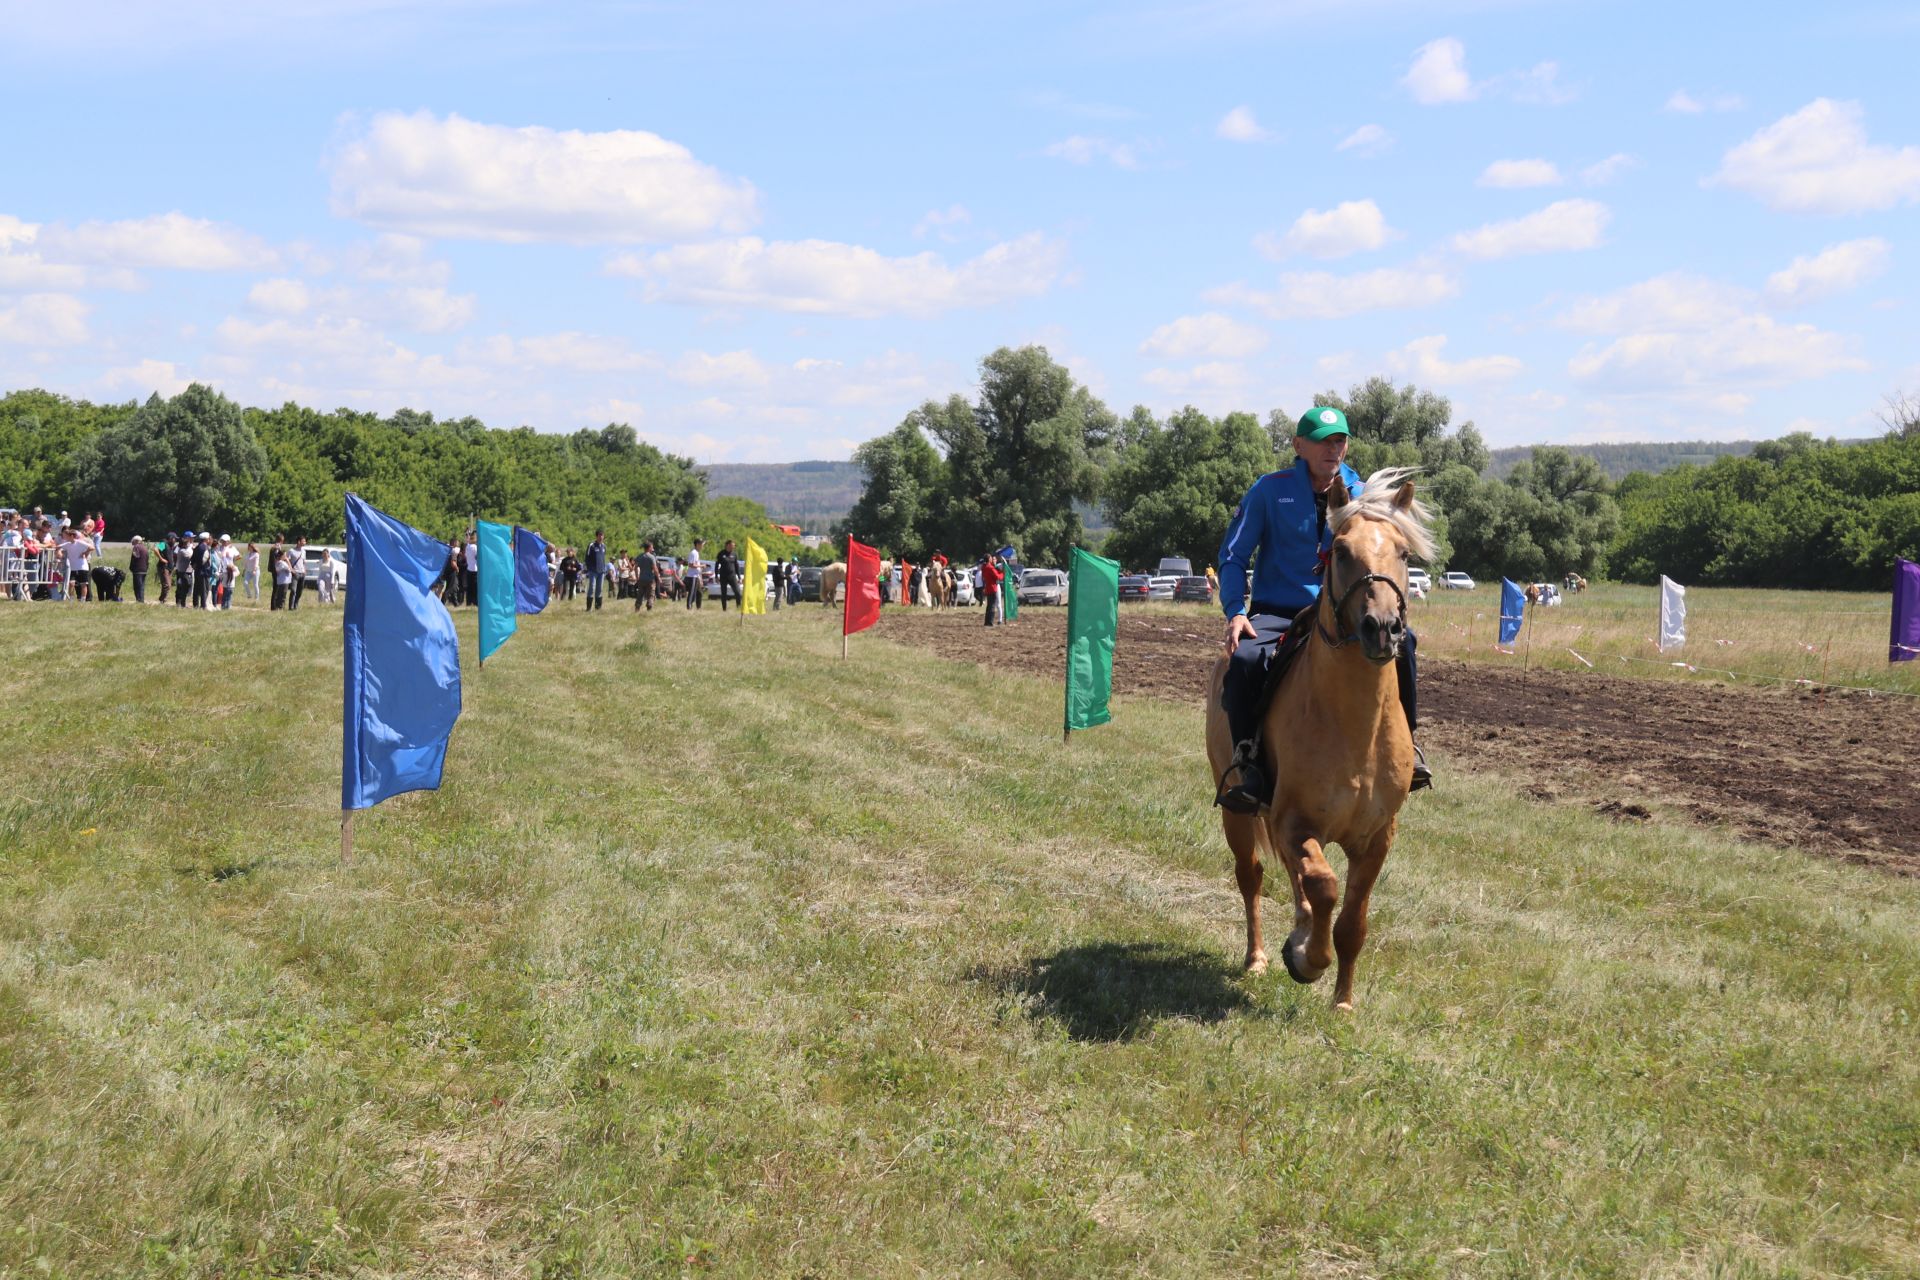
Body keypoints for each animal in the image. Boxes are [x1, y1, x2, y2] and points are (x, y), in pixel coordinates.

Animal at [1205, 468, 1436, 1013]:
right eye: (1342, 551)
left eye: (1404, 553)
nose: (1383, 629)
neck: (1355, 730)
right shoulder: (1293, 823)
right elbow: (1324, 886)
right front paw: (1306, 959)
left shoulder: (1376, 839)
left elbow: (1351, 920)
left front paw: (1343, 1003)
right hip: (1238, 814)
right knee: (1253, 877)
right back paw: (1259, 957)